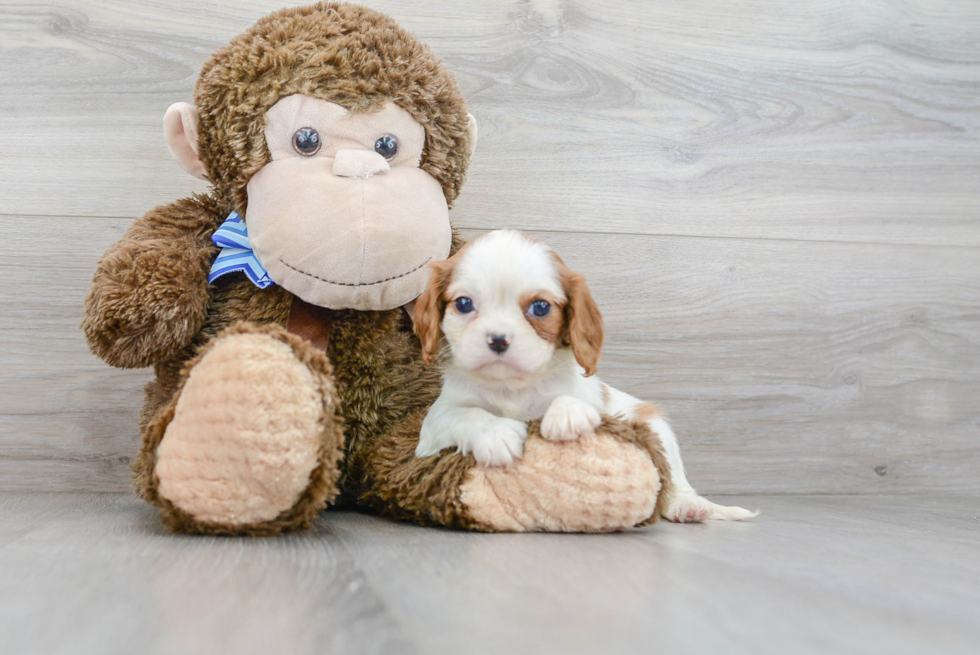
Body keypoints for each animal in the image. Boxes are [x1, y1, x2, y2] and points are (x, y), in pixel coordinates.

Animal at [414, 231, 756, 524]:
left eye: (540, 307)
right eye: (464, 304)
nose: (498, 339)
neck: (513, 387)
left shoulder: (592, 396)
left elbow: (576, 398)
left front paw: (567, 415)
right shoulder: (434, 422)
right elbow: (466, 414)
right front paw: (496, 433)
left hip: (656, 427)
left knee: (673, 477)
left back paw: (688, 504)